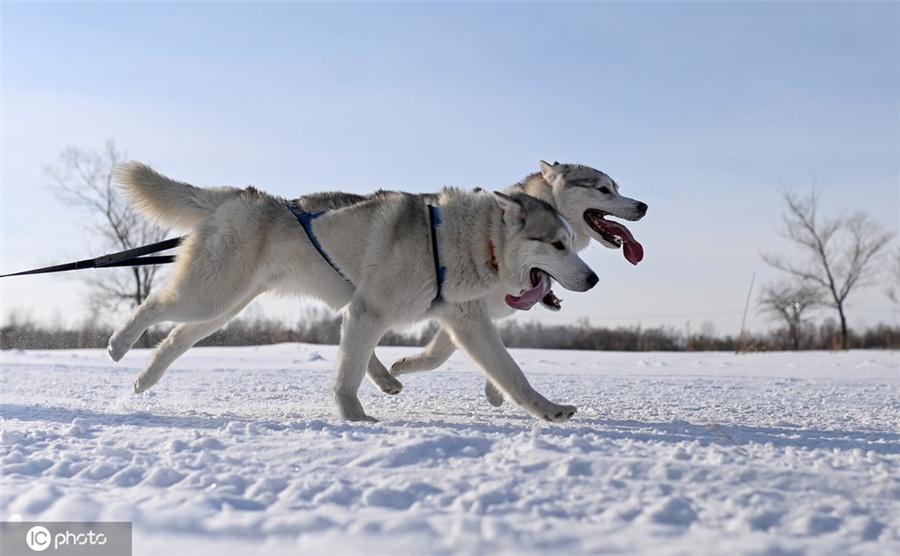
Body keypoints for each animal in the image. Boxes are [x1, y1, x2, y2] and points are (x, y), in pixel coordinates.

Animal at [107, 163, 596, 424]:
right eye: (557, 244)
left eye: (572, 241)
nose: (592, 279)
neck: (462, 239)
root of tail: (242, 196)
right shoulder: (367, 312)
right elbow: (349, 372)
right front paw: (355, 417)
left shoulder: (468, 322)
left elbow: (512, 374)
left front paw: (549, 410)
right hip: (210, 294)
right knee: (153, 306)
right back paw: (118, 344)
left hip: (223, 306)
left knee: (175, 338)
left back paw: (144, 379)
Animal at [392, 159, 648, 406]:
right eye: (603, 189)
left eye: (616, 188)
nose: (642, 206)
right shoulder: (466, 308)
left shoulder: (467, 311)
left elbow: (452, 352)